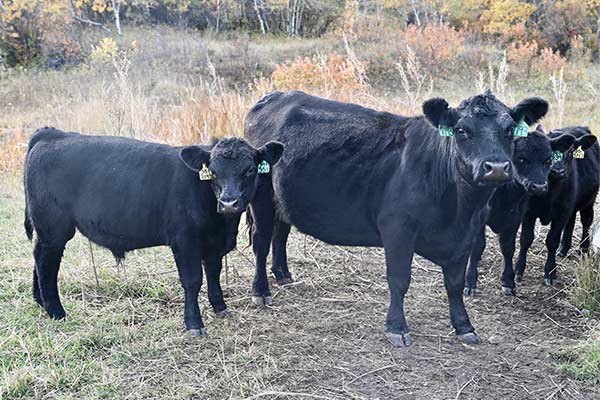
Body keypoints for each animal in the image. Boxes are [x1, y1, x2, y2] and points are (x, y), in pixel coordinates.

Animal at [23, 127, 284, 334]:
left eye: (249, 170)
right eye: (213, 171)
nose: (229, 202)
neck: (221, 223)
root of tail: (53, 134)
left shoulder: (213, 243)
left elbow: (213, 273)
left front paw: (220, 307)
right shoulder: (184, 241)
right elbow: (192, 280)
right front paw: (194, 323)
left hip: (47, 231)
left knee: (39, 257)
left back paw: (40, 302)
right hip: (54, 228)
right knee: (46, 261)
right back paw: (56, 311)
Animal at [245, 91, 548, 346]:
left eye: (509, 130)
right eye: (462, 130)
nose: (496, 167)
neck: (460, 209)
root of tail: (274, 96)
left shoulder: (466, 235)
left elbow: (454, 284)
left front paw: (464, 326)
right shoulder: (398, 230)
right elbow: (399, 280)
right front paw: (397, 328)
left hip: (282, 201)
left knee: (280, 234)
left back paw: (283, 275)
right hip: (260, 199)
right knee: (261, 241)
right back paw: (261, 291)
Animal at [462, 128, 576, 296]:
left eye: (548, 160)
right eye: (521, 159)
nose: (539, 186)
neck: (505, 195)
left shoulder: (516, 217)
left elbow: (508, 248)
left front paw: (508, 282)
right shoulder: (479, 217)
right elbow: (478, 246)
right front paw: (469, 282)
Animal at [512, 125, 596, 284]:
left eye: (570, 152)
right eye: (523, 159)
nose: (558, 170)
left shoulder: (561, 214)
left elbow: (552, 241)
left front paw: (550, 273)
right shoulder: (528, 212)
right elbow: (526, 239)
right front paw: (518, 270)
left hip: (589, 201)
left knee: (586, 221)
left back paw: (583, 249)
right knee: (571, 223)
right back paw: (563, 250)